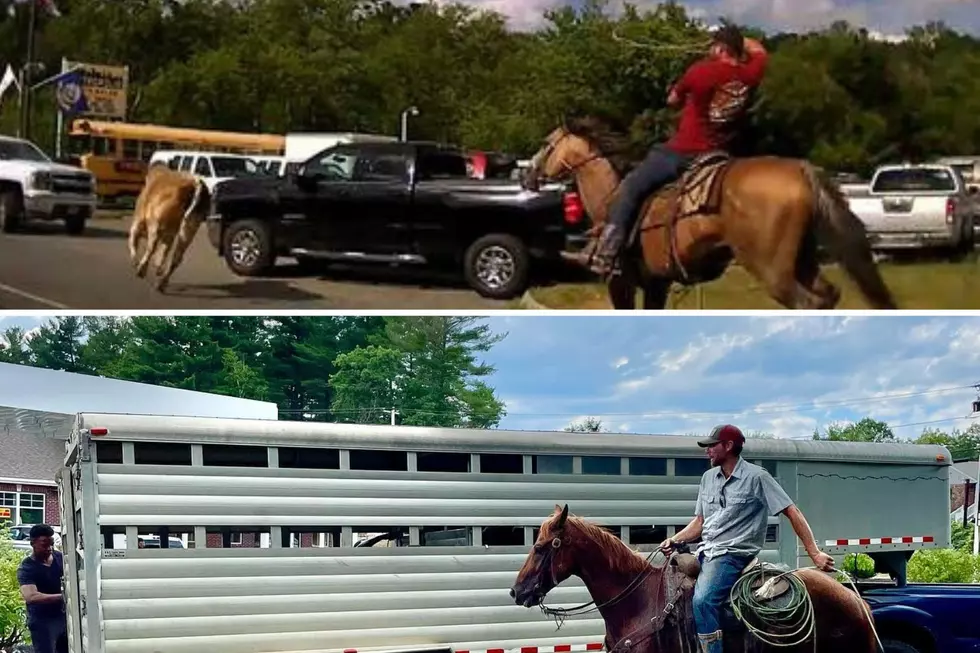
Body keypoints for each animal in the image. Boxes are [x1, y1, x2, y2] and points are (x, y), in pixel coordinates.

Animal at [524, 117, 900, 310]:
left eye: (545, 144)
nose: (527, 174)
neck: (609, 197)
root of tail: (801, 170)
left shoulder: (621, 281)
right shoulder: (657, 283)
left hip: (772, 270)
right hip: (803, 260)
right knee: (826, 296)